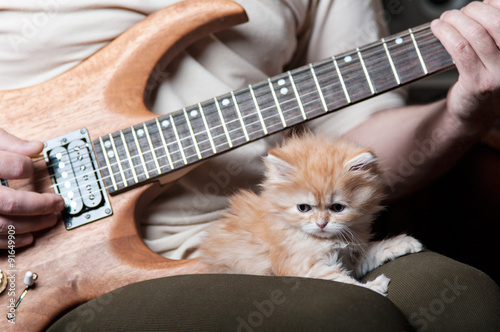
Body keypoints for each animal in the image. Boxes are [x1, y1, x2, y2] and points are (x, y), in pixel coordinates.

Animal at [199, 134, 422, 294]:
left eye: (337, 208)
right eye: (304, 208)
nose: (322, 224)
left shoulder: (349, 258)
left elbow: (372, 250)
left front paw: (402, 243)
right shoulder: (302, 268)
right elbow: (344, 282)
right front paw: (374, 287)